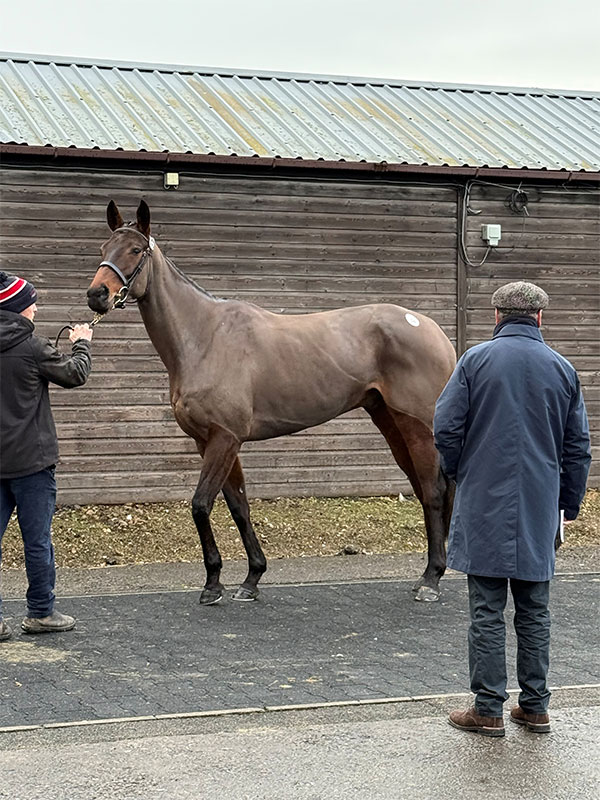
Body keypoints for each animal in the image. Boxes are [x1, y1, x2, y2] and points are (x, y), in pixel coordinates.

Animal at [87, 200, 456, 604]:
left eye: (136, 250)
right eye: (103, 248)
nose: (97, 295)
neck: (203, 336)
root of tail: (432, 329)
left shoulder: (225, 438)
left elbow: (201, 505)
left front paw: (213, 584)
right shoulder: (210, 441)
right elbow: (239, 506)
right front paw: (250, 578)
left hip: (417, 426)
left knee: (434, 490)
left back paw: (431, 579)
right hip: (388, 420)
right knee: (425, 487)